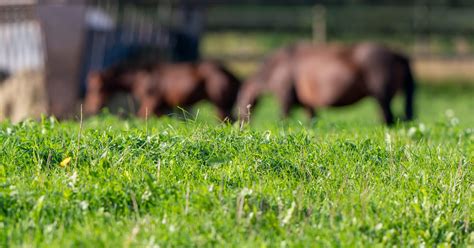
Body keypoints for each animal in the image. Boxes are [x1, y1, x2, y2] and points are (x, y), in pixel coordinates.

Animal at [83, 60, 241, 121]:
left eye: (97, 88)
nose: (90, 108)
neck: (142, 77)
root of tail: (234, 76)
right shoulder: (160, 107)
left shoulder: (150, 102)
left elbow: (140, 118)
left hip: (221, 105)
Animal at [237, 42, 414, 125]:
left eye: (239, 101)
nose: (240, 123)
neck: (278, 65)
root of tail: (397, 54)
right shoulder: (308, 105)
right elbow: (311, 120)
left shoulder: (285, 98)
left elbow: (283, 118)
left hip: (382, 98)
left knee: (389, 119)